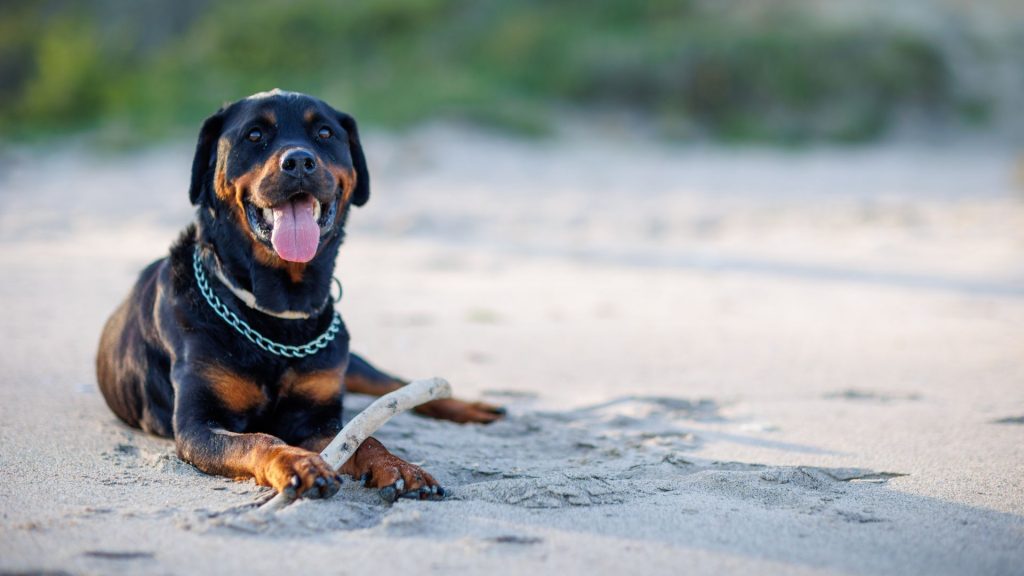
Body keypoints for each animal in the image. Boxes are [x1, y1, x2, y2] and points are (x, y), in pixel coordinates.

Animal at [97, 88, 505, 498]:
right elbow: (260, 439)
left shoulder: (316, 417)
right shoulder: (200, 424)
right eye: (255, 135)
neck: (279, 312)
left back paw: (473, 408)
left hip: (348, 359)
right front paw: (298, 462)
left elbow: (365, 440)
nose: (298, 161)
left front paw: (400, 467)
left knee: (396, 384)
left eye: (325, 133)